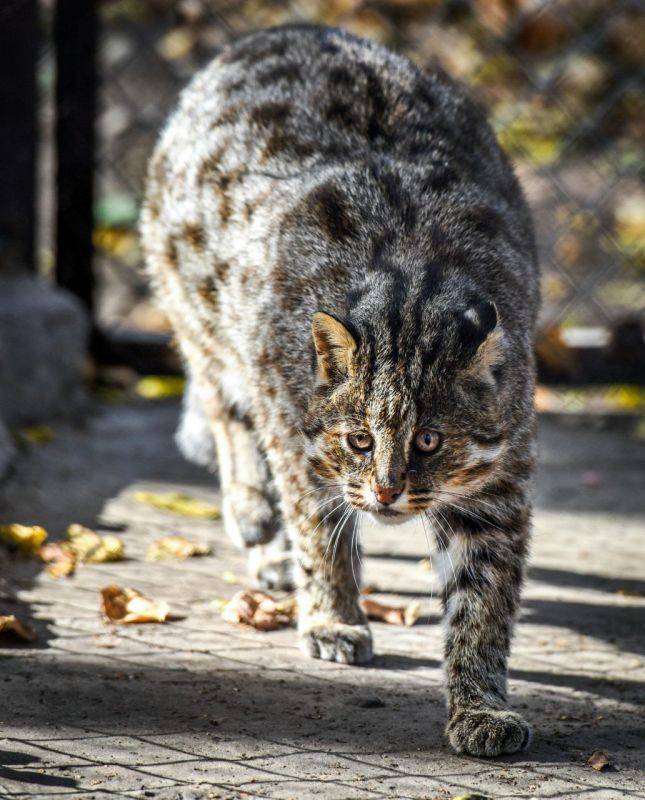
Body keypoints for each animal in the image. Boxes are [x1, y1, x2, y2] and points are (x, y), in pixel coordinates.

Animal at [141, 23, 540, 756]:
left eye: (429, 441)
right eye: (358, 439)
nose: (385, 494)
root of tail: (284, 29)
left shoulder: (496, 485)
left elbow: (483, 599)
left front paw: (479, 704)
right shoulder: (295, 434)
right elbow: (317, 527)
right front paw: (332, 615)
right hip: (197, 306)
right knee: (219, 400)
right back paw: (253, 514)